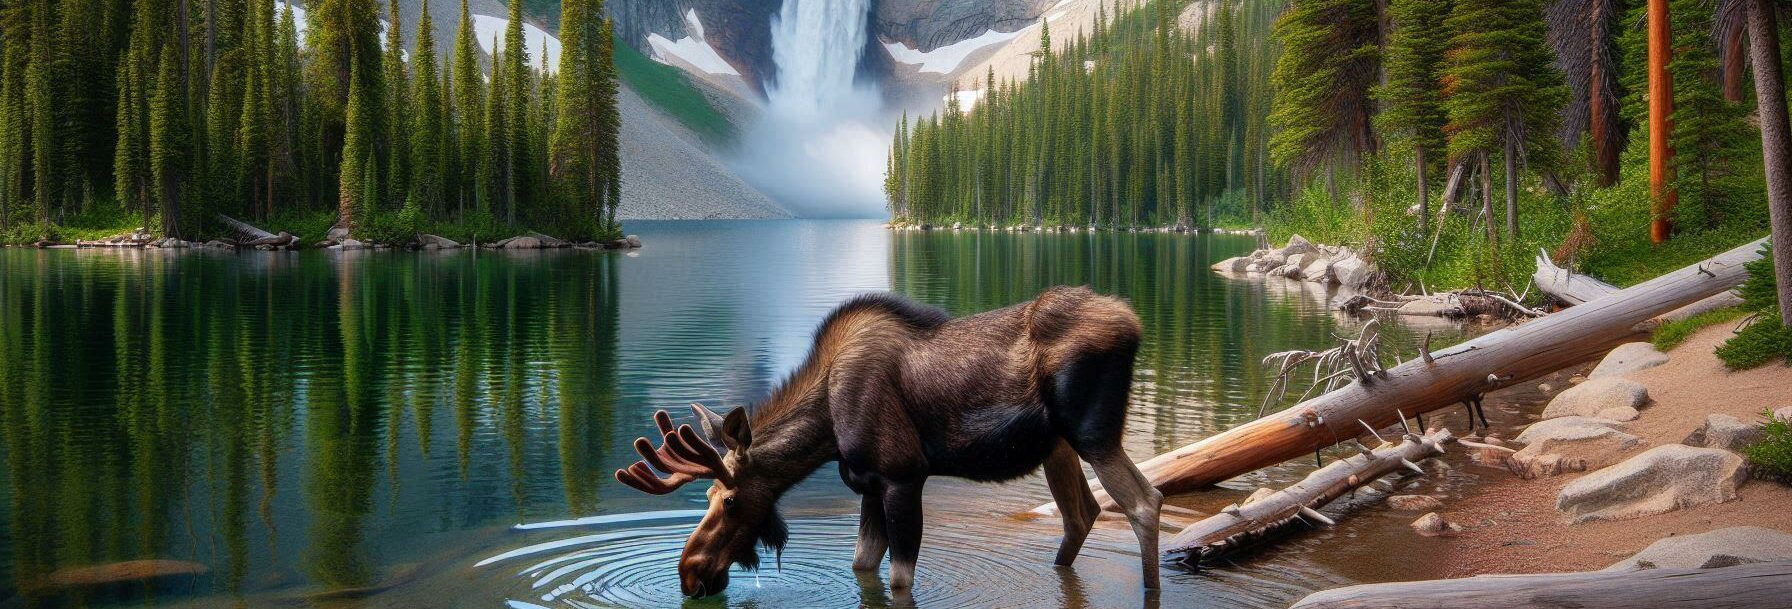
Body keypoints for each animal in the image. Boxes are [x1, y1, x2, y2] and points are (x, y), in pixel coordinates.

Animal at [616, 288, 1161, 598]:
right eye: (707, 496)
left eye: (729, 501)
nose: (690, 573)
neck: (828, 430)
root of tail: (1135, 323)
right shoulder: (868, 485)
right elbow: (862, 568)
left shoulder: (902, 476)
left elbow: (899, 579)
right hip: (1058, 446)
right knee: (1082, 514)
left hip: (1093, 432)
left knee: (1144, 502)